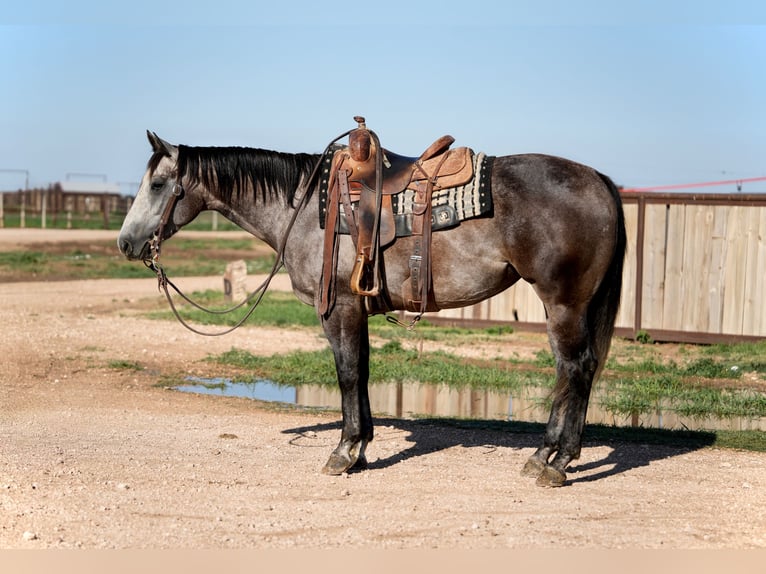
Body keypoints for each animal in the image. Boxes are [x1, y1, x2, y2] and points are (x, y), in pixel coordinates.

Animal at [118, 128, 626, 487]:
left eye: (158, 183)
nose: (125, 242)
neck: (306, 207)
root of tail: (599, 180)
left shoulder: (337, 307)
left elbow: (346, 374)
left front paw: (342, 452)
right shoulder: (357, 310)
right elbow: (360, 373)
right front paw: (360, 450)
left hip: (564, 303)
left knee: (575, 370)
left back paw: (555, 461)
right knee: (575, 371)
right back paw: (548, 458)